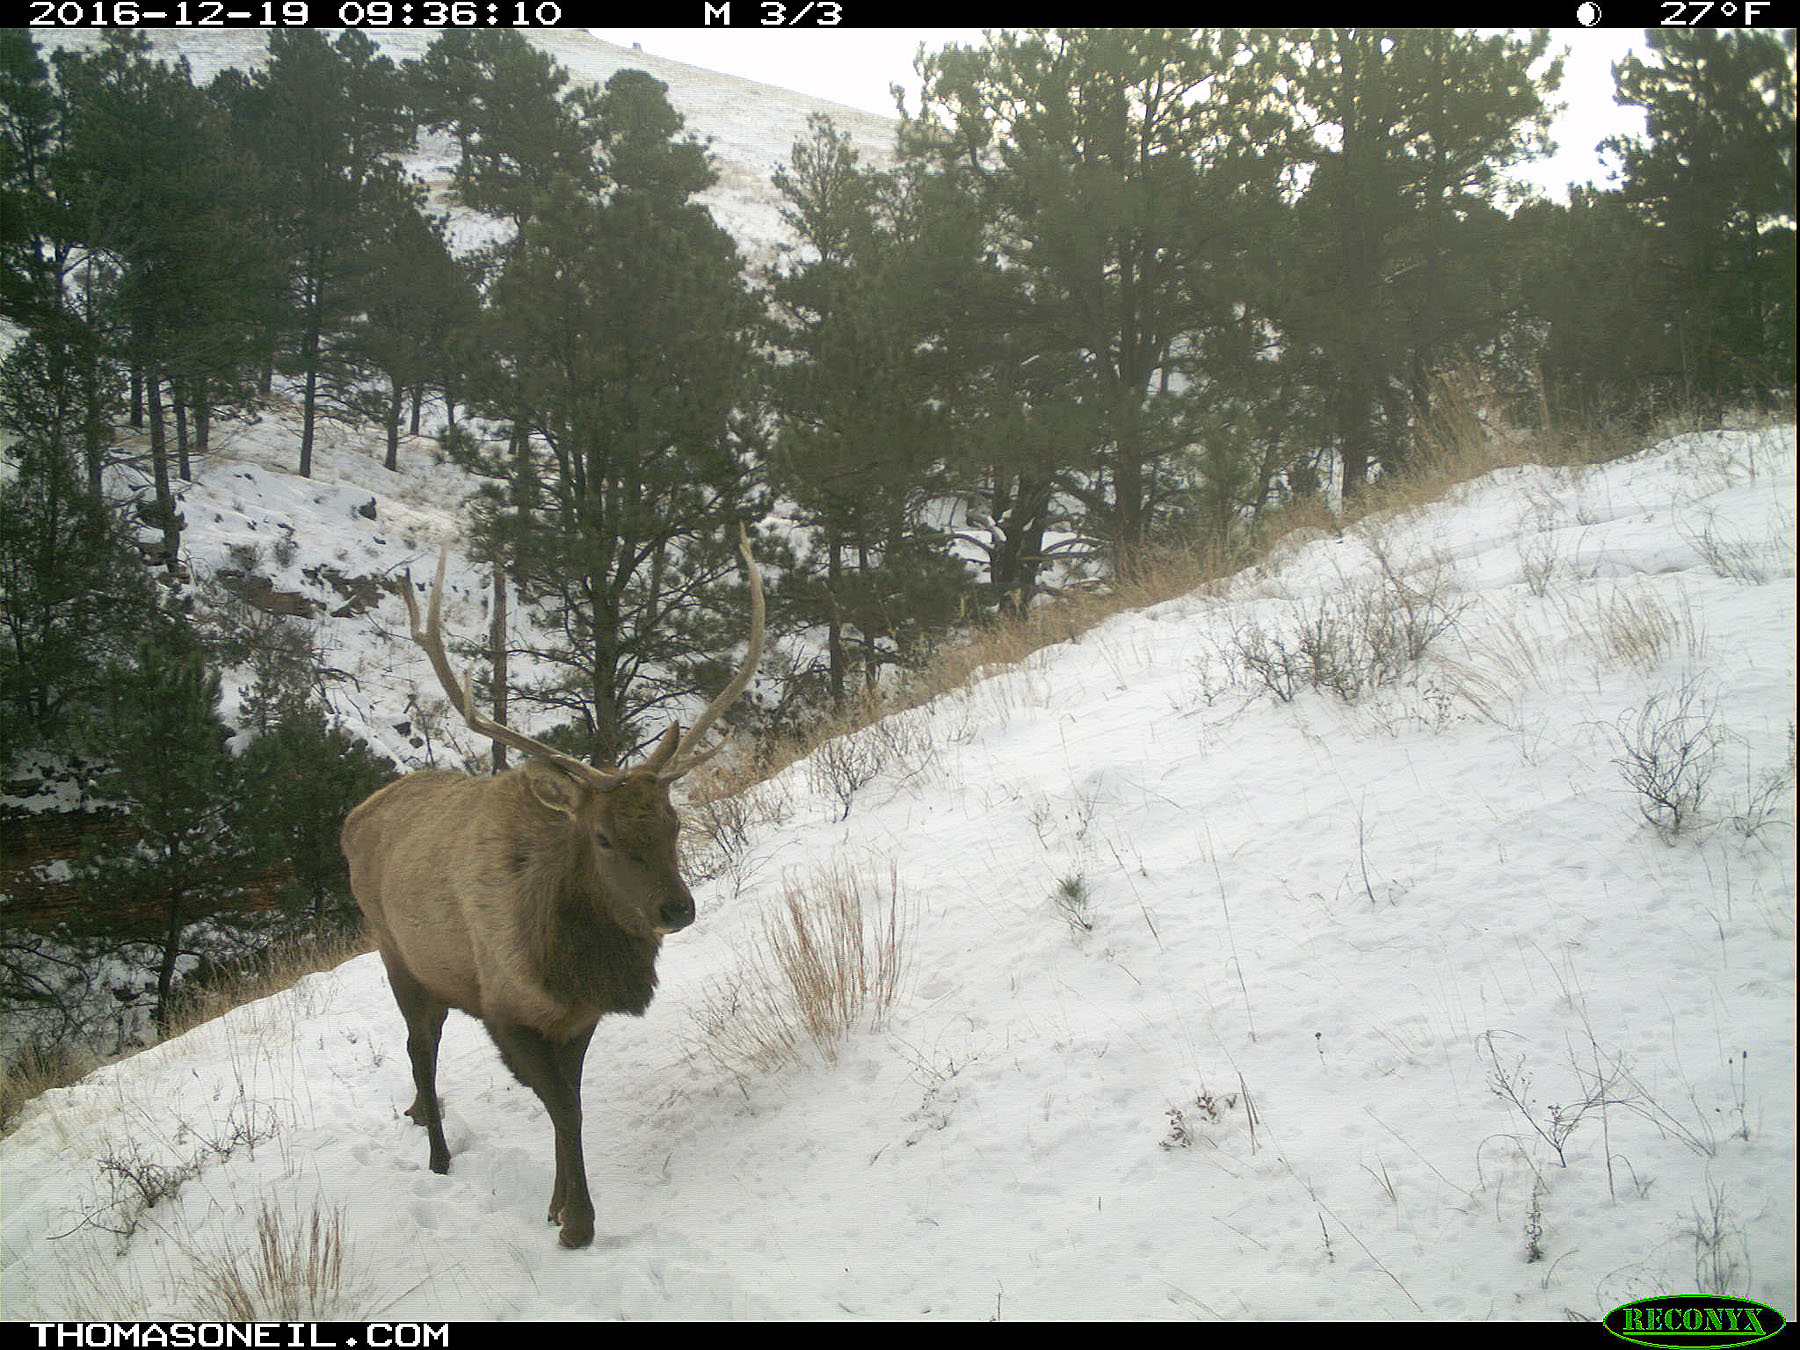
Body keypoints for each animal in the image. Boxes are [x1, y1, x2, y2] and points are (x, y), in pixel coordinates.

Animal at [340, 529, 762, 1247]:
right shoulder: (504, 1008)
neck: (571, 962)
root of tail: (353, 817)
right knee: (420, 1052)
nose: (676, 908)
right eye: (602, 838)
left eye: (675, 822)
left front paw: (558, 1205)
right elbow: (562, 1108)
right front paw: (578, 1224)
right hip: (400, 959)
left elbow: (575, 1104)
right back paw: (439, 1156)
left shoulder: (577, 1017)